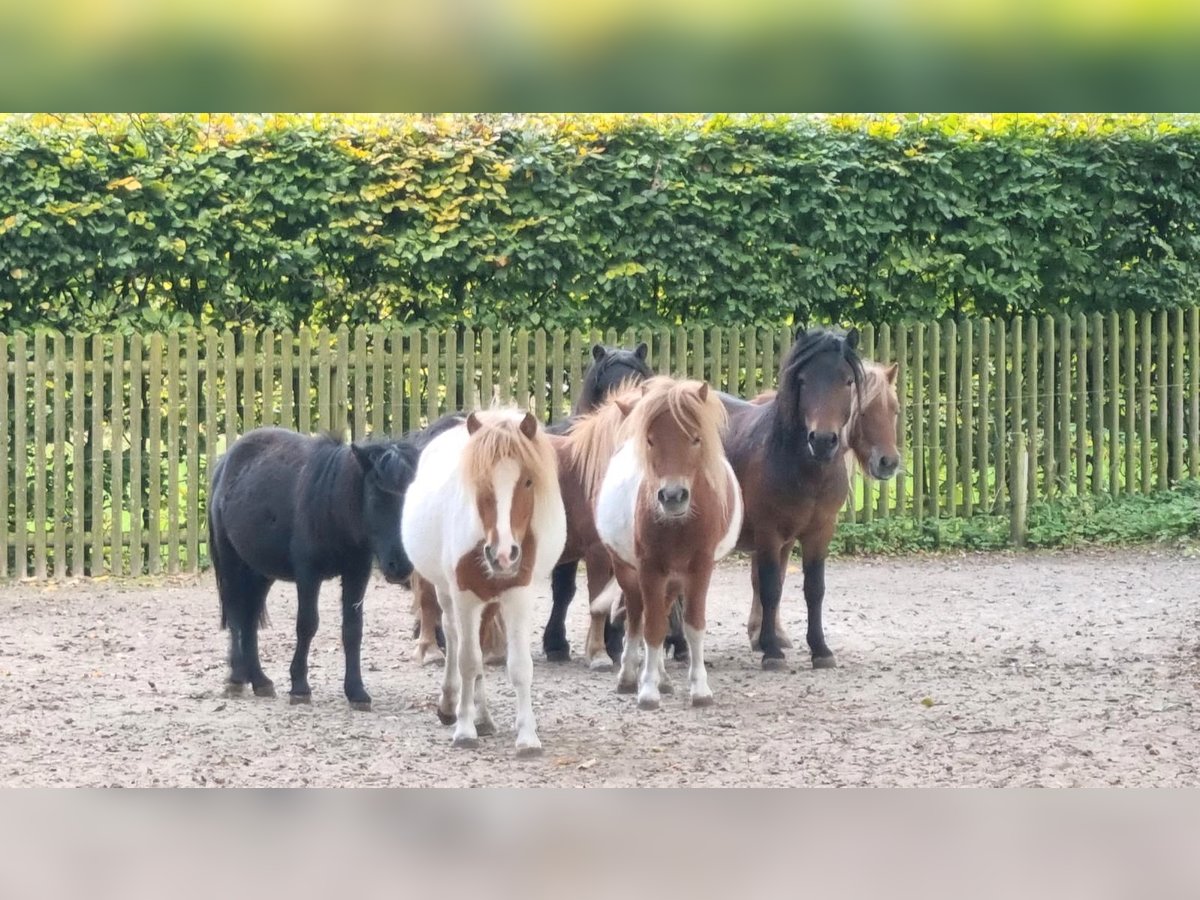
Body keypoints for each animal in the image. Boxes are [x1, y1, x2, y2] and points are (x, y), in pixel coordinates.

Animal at [210, 427, 422, 710]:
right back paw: (236, 678)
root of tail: (225, 463)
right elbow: (307, 624)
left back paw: (260, 680)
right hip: (231, 561)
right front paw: (300, 686)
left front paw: (356, 691)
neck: (332, 508)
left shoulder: (357, 573)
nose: (400, 565)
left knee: (250, 618)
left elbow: (353, 629)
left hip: (260, 571)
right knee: (235, 614)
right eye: (377, 497)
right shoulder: (308, 574)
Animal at [400, 412, 564, 758]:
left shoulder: (517, 597)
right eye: (480, 481)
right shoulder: (465, 597)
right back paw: (451, 705)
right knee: (453, 637)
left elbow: (519, 666)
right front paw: (464, 729)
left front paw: (527, 736)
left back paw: (484, 717)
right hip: (447, 593)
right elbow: (468, 661)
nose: (503, 555)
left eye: (527, 481)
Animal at [590, 374, 739, 710]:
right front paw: (647, 691)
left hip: (672, 579)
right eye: (650, 440)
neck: (679, 524)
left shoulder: (701, 568)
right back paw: (630, 677)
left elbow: (693, 626)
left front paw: (699, 689)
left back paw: (663, 678)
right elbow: (652, 629)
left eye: (696, 439)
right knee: (636, 617)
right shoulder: (649, 569)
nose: (672, 496)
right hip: (627, 570)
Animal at [720, 328, 864, 672]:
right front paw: (772, 651)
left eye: (847, 381)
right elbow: (770, 589)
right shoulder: (769, 534)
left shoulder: (820, 532)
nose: (823, 440)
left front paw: (820, 649)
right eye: (803, 380)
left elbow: (814, 589)